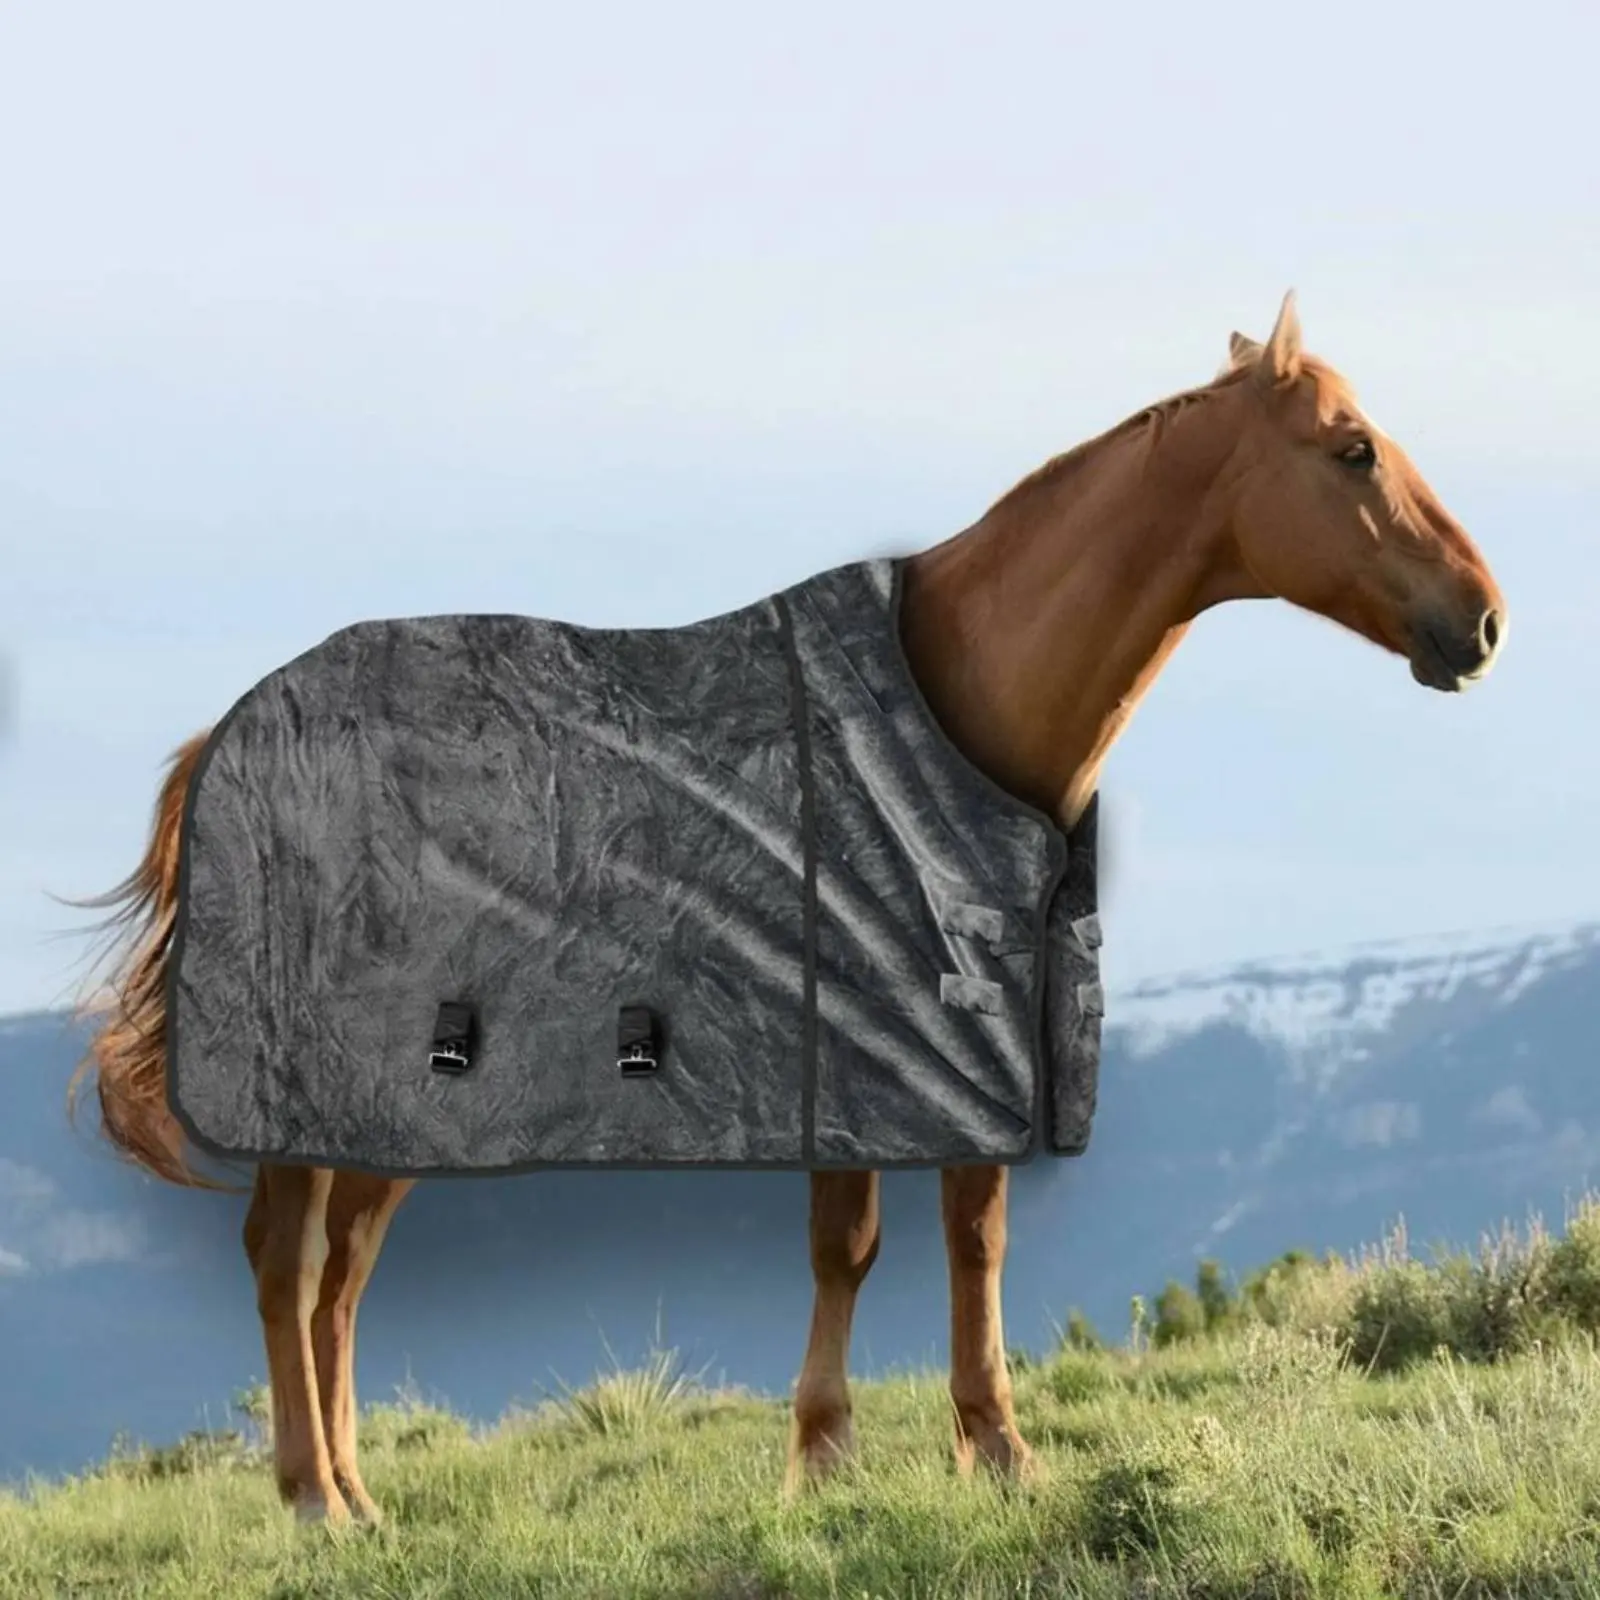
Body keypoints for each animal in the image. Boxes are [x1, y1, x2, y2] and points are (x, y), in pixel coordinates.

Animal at [70, 293, 1505, 1525]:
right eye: (1353, 449)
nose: (1483, 621)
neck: (951, 701)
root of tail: (227, 735)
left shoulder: (964, 1038)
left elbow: (974, 1239)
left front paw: (997, 1449)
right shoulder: (847, 1044)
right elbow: (847, 1246)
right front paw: (822, 1456)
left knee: (338, 1279)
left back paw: (360, 1497)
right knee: (285, 1261)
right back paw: (311, 1499)